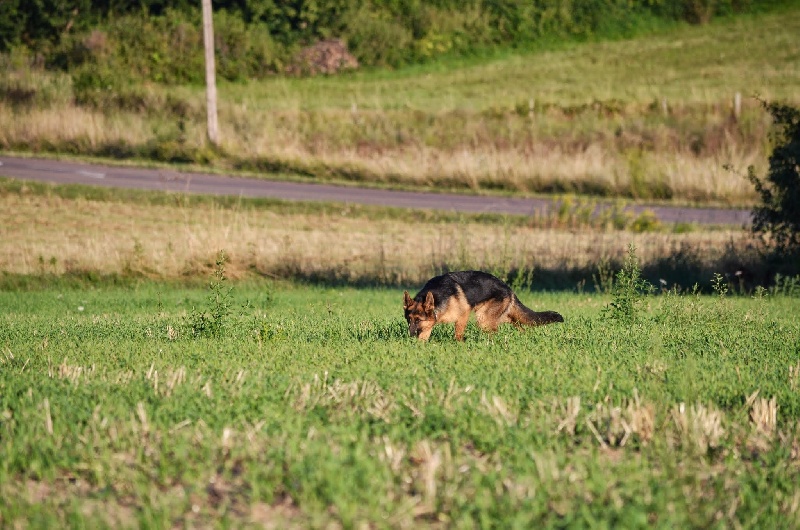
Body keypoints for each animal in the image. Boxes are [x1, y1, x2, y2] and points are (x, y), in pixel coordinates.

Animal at [400, 270, 564, 340]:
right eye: (409, 320)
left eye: (418, 320)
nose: (410, 336)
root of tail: (508, 288)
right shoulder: (429, 324)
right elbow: (424, 337)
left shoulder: (463, 314)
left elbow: (458, 334)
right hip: (500, 317)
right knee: (518, 323)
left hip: (483, 320)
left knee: (496, 331)